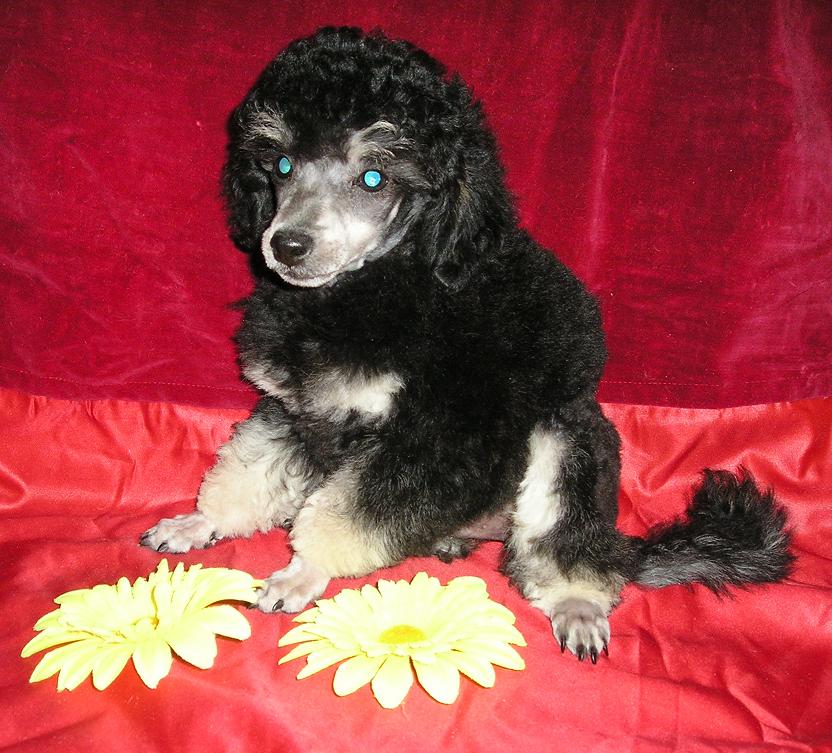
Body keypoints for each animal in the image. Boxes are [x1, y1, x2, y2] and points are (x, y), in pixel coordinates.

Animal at [141, 27, 793, 662]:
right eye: (279, 165)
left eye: (374, 177)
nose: (287, 246)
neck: (382, 283)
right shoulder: (297, 410)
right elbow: (248, 471)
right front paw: (200, 522)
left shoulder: (432, 437)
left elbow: (342, 515)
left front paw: (302, 570)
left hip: (567, 436)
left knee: (566, 538)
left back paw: (577, 602)